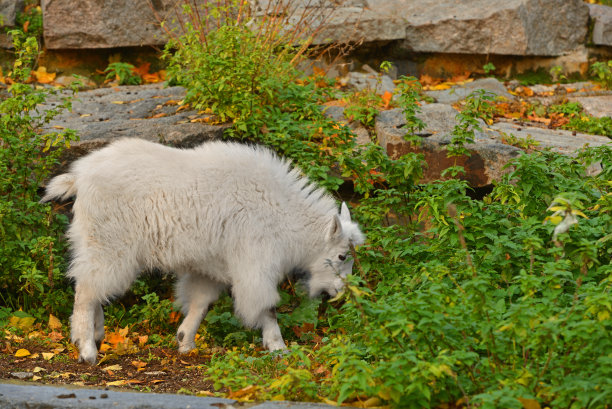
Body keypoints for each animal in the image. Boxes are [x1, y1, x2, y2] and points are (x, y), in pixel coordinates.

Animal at [41, 138, 364, 364]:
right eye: (342, 256)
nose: (341, 293)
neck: (282, 212)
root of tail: (80, 178)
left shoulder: (210, 267)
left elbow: (200, 302)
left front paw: (185, 342)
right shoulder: (255, 262)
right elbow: (267, 306)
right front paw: (278, 347)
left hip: (95, 243)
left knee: (90, 287)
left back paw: (97, 334)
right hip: (110, 244)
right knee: (86, 291)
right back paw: (86, 349)